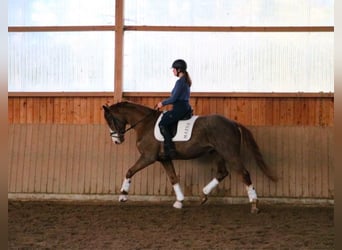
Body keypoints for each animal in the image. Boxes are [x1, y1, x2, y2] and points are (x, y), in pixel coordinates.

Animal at [103, 101, 276, 213]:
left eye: (110, 120)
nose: (117, 140)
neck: (145, 124)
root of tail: (233, 123)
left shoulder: (148, 157)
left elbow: (129, 171)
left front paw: (123, 196)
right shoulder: (164, 159)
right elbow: (173, 178)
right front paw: (179, 201)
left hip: (229, 153)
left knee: (244, 174)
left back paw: (254, 204)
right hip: (217, 153)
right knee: (222, 173)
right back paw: (203, 195)